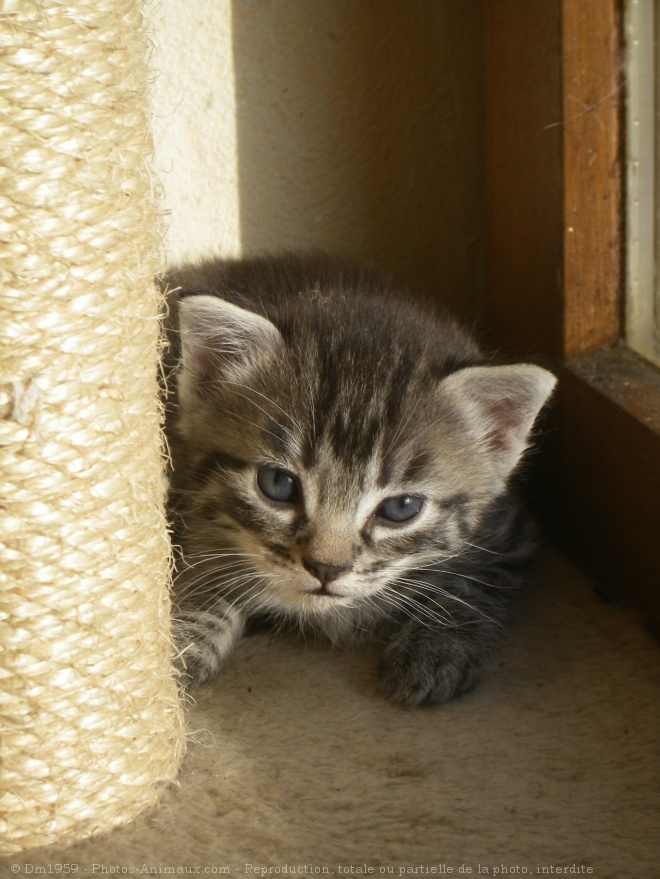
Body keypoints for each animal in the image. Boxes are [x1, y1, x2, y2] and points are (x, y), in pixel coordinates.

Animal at [161, 254, 556, 708]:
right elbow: (202, 573)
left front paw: (438, 647)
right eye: (278, 483)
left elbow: (475, 585)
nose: (326, 569)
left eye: (401, 508)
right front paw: (179, 642)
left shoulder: (512, 531)